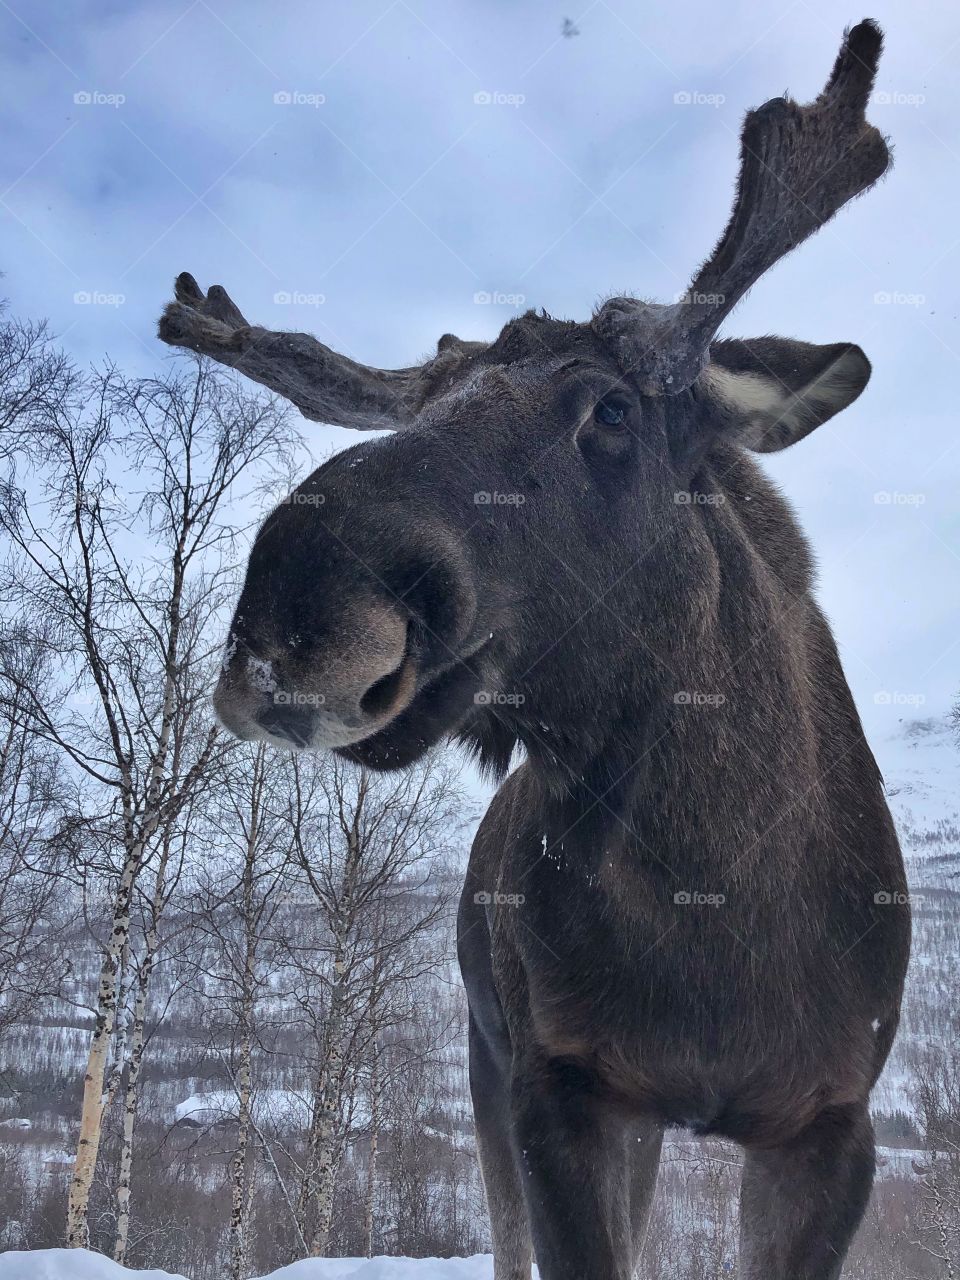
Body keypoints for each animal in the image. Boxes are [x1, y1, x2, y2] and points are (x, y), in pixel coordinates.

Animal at [158, 20, 911, 1280]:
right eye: (419, 406)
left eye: (612, 410)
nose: (297, 609)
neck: (714, 890)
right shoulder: (561, 1082)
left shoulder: (829, 1115)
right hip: (488, 1051)